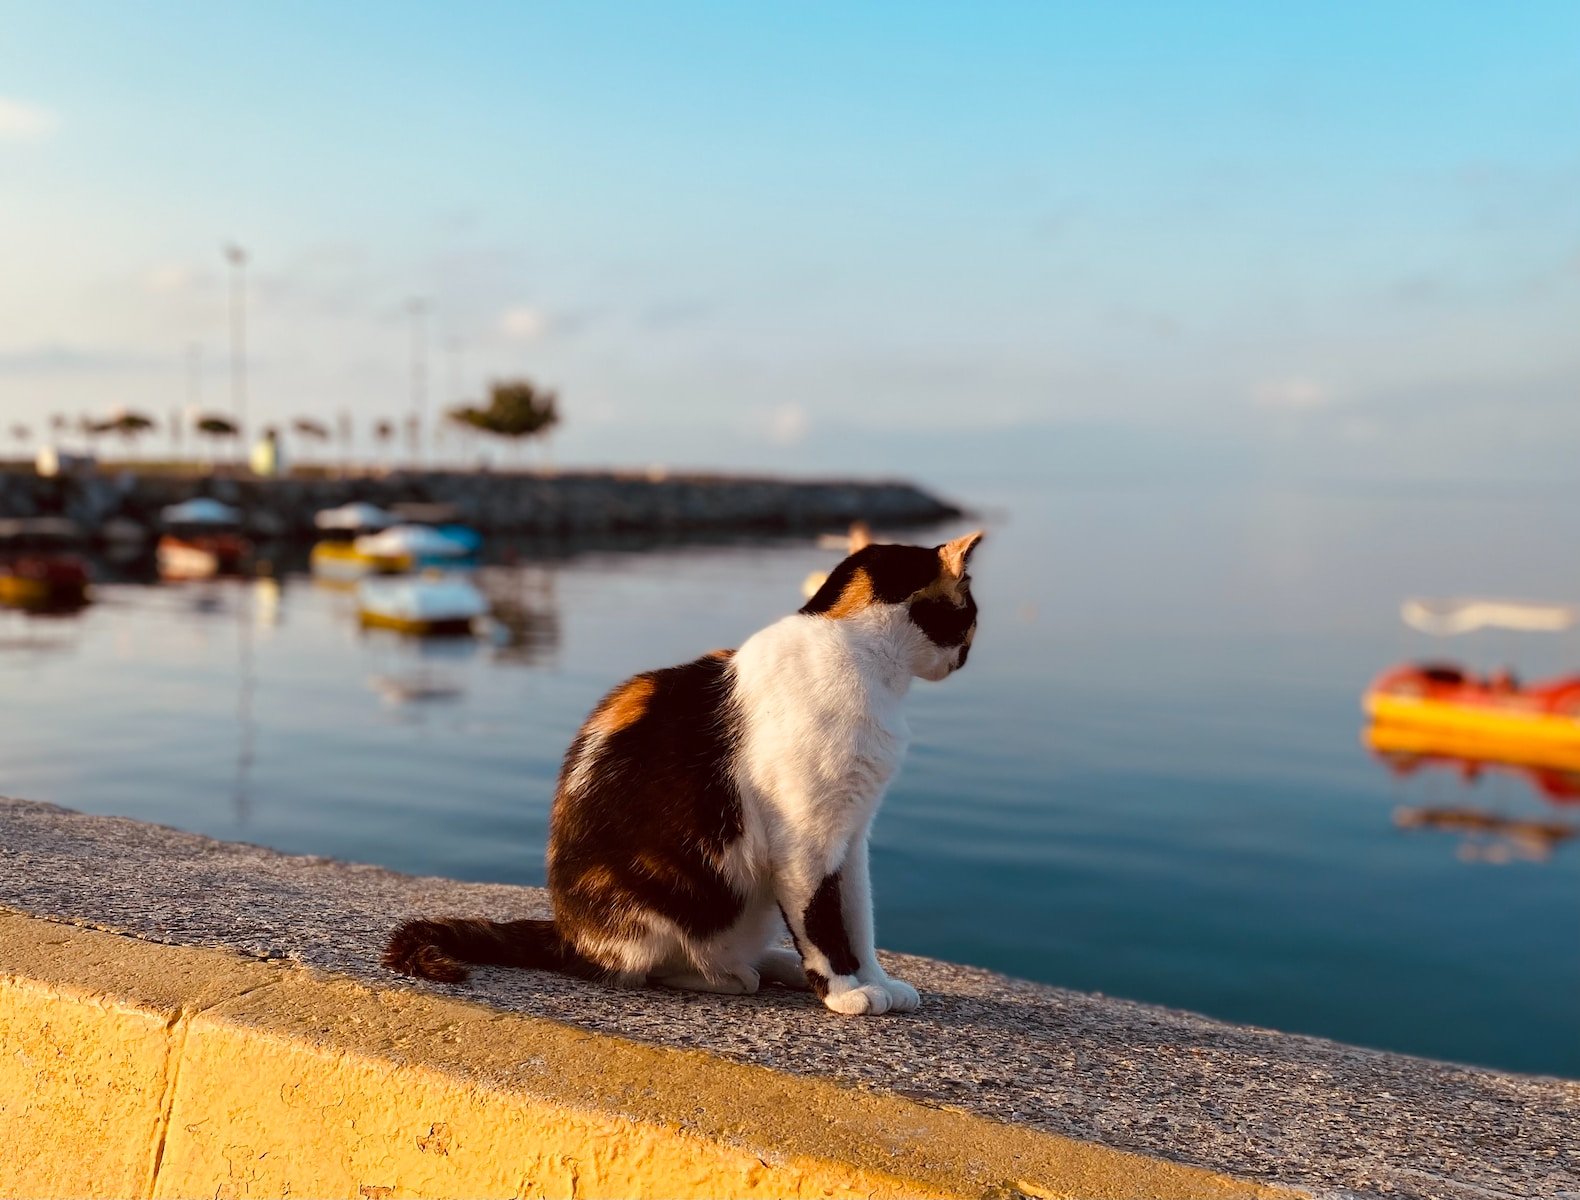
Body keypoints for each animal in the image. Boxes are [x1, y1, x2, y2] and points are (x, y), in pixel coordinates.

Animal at [382, 531, 979, 1011]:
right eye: (971, 612)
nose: (966, 657)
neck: (867, 661)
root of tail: (569, 934)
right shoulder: (808, 838)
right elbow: (822, 920)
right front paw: (845, 992)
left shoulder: (852, 832)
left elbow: (858, 916)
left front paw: (878, 980)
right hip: (656, 906)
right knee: (648, 969)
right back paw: (732, 974)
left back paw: (774, 964)